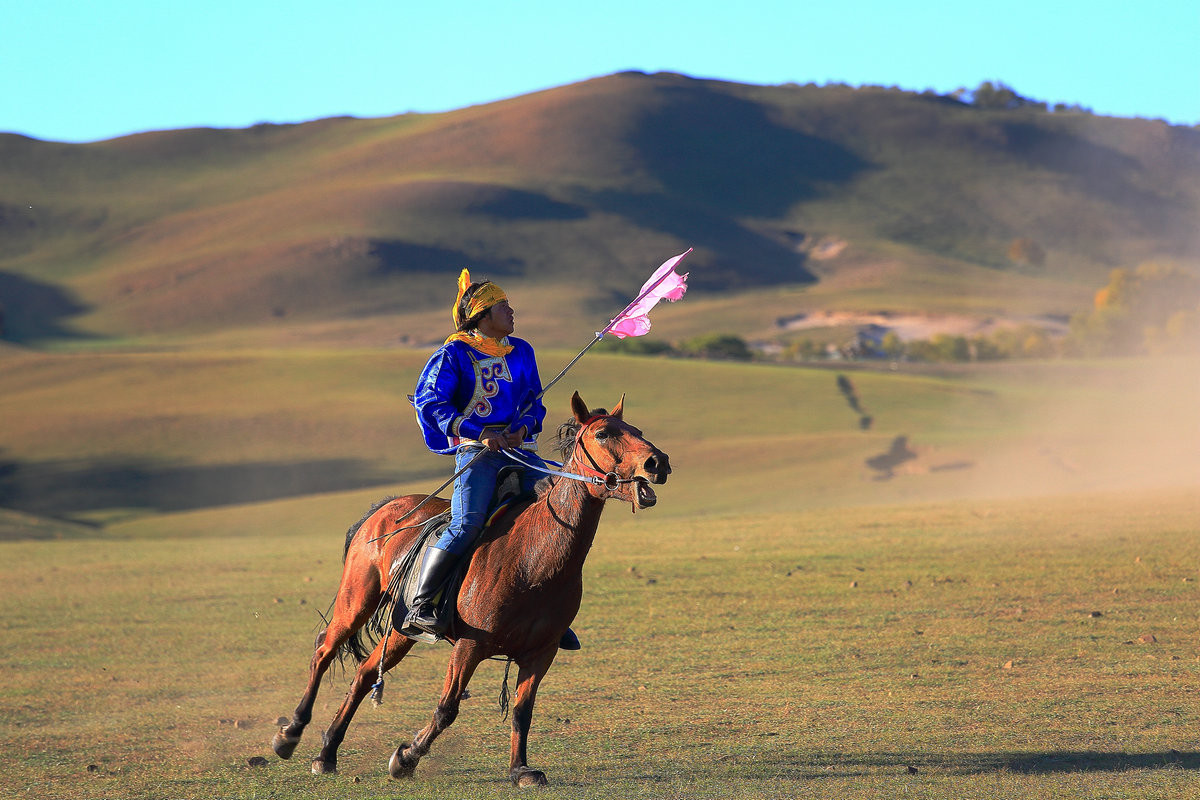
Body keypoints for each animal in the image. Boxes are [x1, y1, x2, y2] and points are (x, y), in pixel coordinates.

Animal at [267, 391, 672, 786]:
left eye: (636, 430)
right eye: (603, 434)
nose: (658, 462)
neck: (535, 557)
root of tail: (384, 508)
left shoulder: (540, 653)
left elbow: (523, 712)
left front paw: (520, 769)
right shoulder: (469, 645)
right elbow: (447, 708)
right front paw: (406, 757)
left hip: (402, 628)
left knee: (365, 672)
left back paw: (327, 753)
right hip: (356, 601)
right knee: (324, 650)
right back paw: (290, 735)